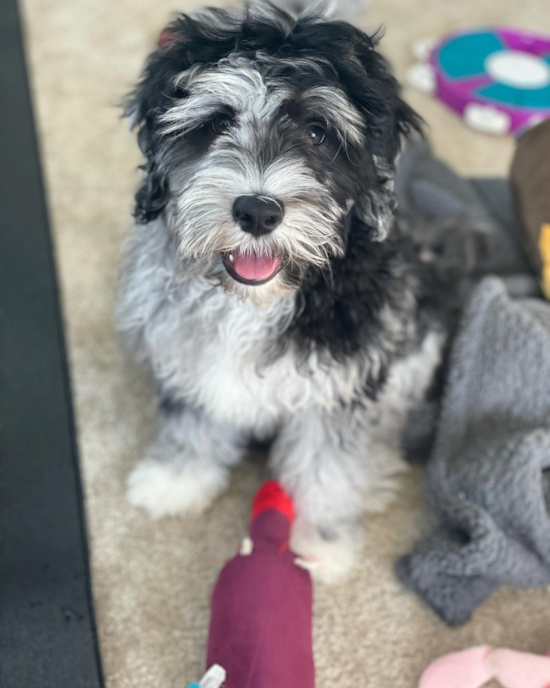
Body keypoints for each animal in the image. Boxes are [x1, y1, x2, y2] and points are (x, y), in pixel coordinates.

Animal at [118, 5, 450, 580]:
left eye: (318, 132)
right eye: (217, 123)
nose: (257, 211)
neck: (255, 301)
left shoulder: (339, 381)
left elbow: (325, 465)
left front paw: (319, 543)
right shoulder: (189, 355)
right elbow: (193, 422)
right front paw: (177, 481)